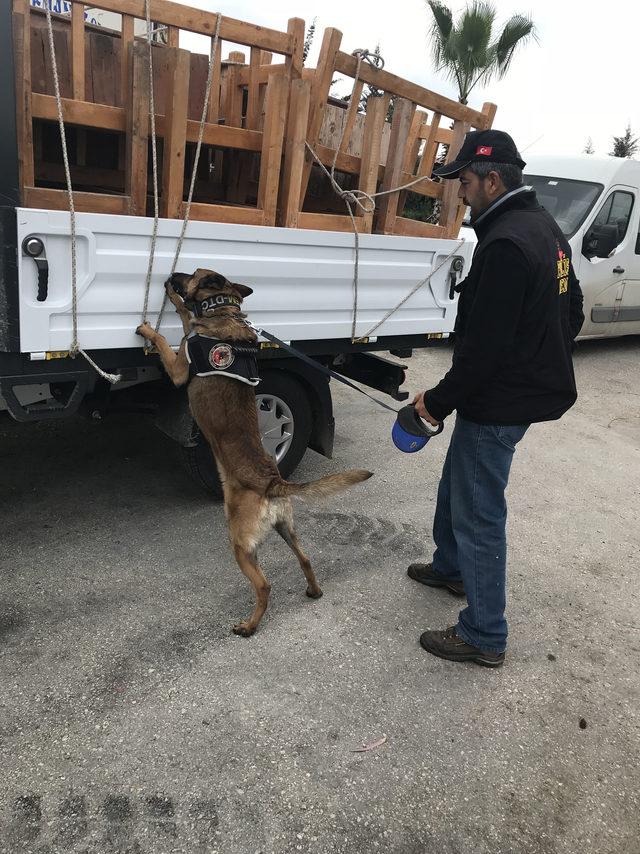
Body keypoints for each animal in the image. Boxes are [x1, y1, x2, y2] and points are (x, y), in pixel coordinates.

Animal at [138, 270, 372, 640]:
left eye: (191, 273)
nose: (171, 277)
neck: (225, 311)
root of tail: (273, 482)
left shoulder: (178, 369)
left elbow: (164, 340)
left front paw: (150, 328)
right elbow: (187, 315)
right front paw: (178, 304)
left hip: (240, 543)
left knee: (264, 586)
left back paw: (249, 625)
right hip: (286, 530)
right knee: (305, 558)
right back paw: (314, 590)